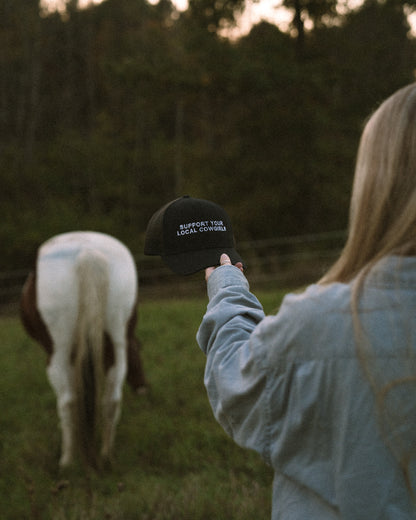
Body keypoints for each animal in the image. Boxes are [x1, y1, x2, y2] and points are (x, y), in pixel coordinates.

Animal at [19, 232, 146, 468]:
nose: (143, 387)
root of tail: (87, 251)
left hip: (57, 353)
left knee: (67, 401)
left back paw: (67, 460)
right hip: (117, 340)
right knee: (112, 399)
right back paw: (106, 455)